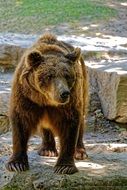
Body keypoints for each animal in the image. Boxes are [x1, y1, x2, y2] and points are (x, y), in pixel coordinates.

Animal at [5, 33, 88, 174]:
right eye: (49, 76)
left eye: (67, 75)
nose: (64, 93)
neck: (45, 99)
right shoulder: (26, 95)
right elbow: (20, 121)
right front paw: (16, 164)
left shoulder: (70, 100)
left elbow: (70, 124)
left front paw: (64, 166)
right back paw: (47, 149)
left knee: (82, 117)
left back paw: (80, 151)